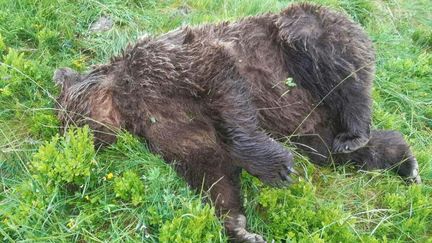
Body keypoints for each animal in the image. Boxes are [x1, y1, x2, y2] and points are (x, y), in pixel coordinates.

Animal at [52, 2, 420, 242]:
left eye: (68, 118)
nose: (70, 141)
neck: (128, 104)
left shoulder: (171, 64)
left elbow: (224, 90)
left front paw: (277, 168)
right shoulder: (168, 129)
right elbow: (210, 170)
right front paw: (239, 228)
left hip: (300, 40)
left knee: (333, 63)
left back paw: (356, 129)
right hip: (312, 124)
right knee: (330, 151)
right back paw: (403, 161)